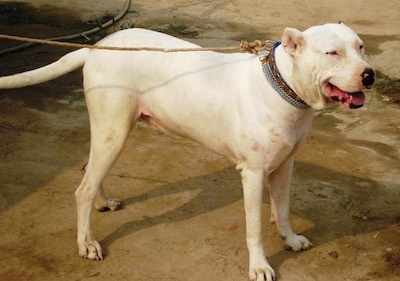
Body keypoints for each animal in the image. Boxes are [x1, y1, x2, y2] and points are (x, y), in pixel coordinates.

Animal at [0, 23, 376, 278]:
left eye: (360, 47)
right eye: (332, 53)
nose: (369, 74)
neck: (284, 85)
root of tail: (98, 47)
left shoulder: (285, 164)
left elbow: (282, 209)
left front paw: (291, 239)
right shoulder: (253, 174)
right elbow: (254, 227)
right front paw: (259, 266)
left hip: (107, 132)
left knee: (90, 173)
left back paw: (102, 202)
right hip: (114, 130)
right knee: (82, 188)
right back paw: (87, 243)